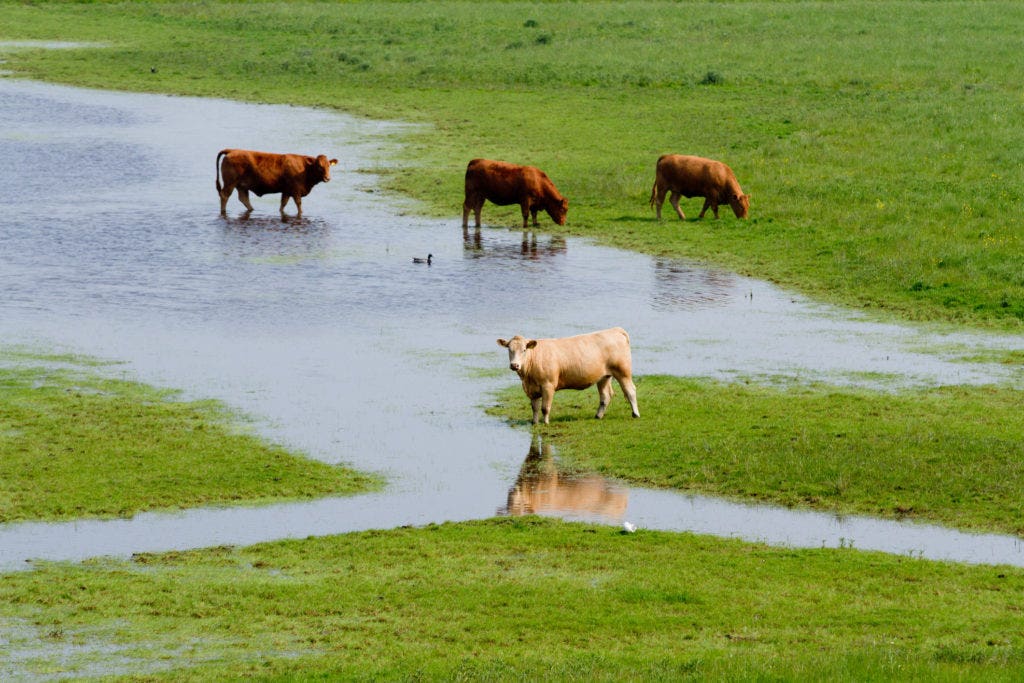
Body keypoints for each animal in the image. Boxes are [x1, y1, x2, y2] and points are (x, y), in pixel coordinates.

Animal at [497, 327, 638, 428]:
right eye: (509, 349)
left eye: (524, 349)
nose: (514, 365)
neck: (528, 377)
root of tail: (615, 330)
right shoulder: (531, 389)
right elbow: (535, 408)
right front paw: (534, 423)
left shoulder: (548, 385)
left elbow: (545, 408)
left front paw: (546, 423)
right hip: (604, 376)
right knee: (606, 396)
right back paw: (598, 416)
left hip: (623, 371)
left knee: (630, 390)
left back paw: (635, 414)